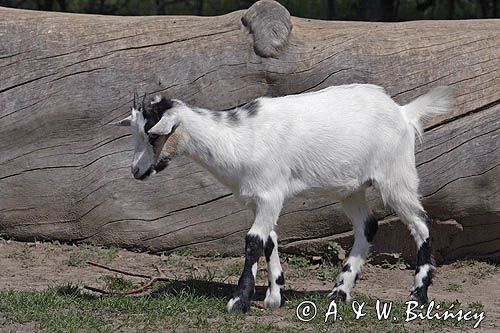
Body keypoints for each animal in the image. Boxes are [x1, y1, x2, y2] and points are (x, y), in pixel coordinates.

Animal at [114, 83, 454, 312]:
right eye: (136, 132)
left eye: (154, 135)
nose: (136, 171)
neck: (239, 138)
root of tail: (403, 113)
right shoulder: (258, 199)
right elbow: (269, 241)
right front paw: (274, 296)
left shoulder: (269, 195)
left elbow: (253, 241)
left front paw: (239, 301)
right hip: (352, 188)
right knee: (367, 226)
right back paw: (340, 292)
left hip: (395, 175)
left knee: (420, 223)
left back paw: (418, 295)